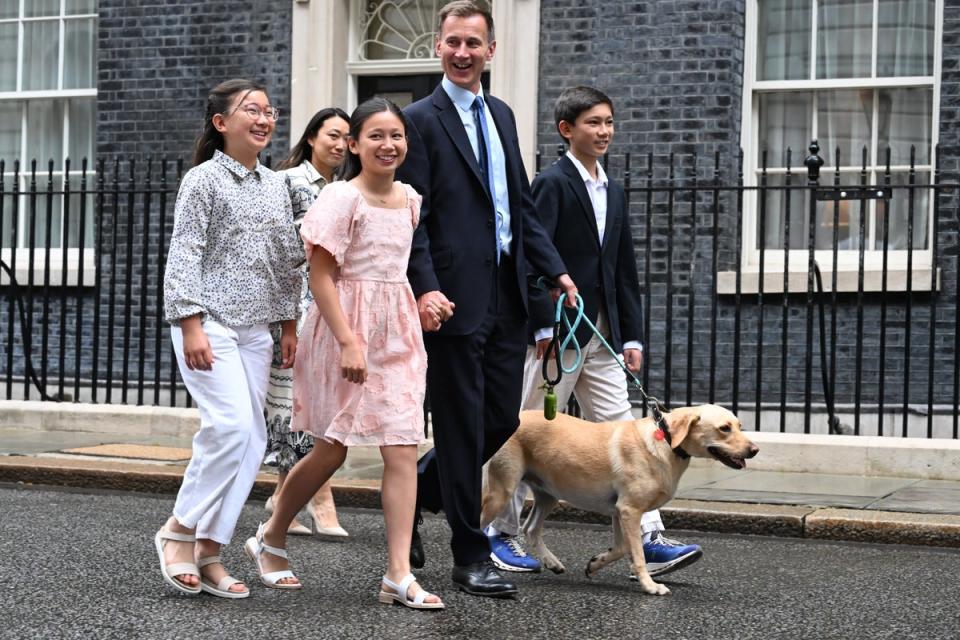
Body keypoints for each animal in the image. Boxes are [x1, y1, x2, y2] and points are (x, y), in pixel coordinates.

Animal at [484, 404, 760, 596]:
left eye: (739, 425)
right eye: (724, 428)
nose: (755, 450)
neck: (667, 440)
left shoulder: (620, 511)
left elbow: (622, 548)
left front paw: (595, 563)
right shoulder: (630, 510)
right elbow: (636, 553)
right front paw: (650, 586)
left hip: (548, 493)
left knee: (531, 528)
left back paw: (552, 562)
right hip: (502, 491)